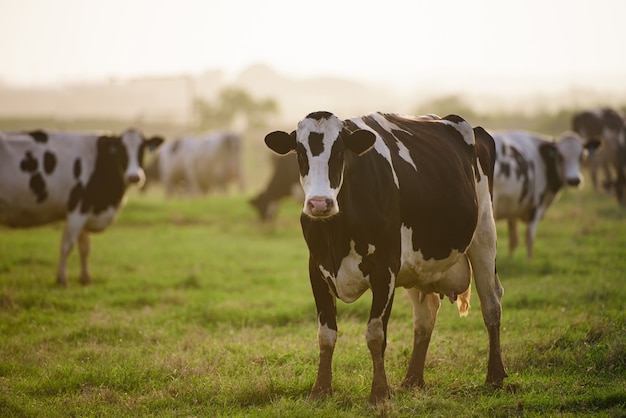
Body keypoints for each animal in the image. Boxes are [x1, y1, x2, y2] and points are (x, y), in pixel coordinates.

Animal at [0, 130, 163, 288]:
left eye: (142, 149)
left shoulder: (86, 213)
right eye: (121, 150)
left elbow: (85, 248)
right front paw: (62, 279)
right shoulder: (77, 211)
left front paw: (85, 278)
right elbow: (67, 246)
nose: (134, 177)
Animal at [262, 112, 502, 404]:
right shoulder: (316, 270)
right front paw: (320, 390)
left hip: (484, 235)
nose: (319, 203)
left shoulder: (384, 270)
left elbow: (375, 334)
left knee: (491, 305)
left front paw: (379, 392)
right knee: (425, 317)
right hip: (418, 266)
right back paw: (413, 380)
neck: (336, 233)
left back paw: (495, 376)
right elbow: (325, 335)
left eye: (340, 151)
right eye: (299, 152)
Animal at [490, 130, 588, 258]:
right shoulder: (536, 205)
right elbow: (529, 239)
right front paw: (528, 260)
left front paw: (510, 259)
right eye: (560, 157)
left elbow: (513, 240)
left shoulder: (513, 209)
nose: (574, 180)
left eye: (582, 156)